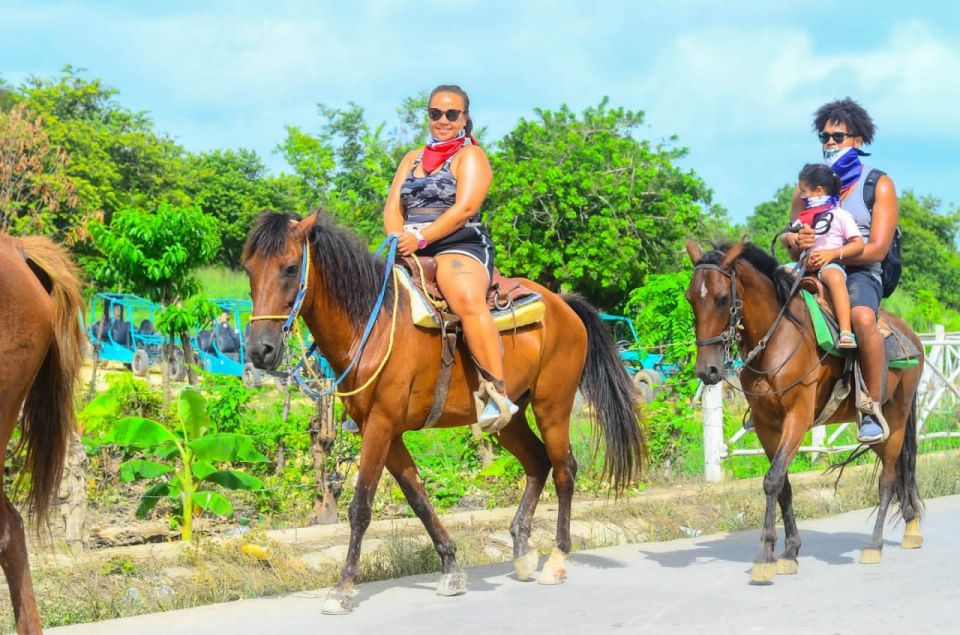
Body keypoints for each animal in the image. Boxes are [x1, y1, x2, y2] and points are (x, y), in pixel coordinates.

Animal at [242, 212, 644, 616]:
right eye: (248, 269)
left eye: (290, 268)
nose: (260, 350)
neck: (371, 323)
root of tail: (561, 304)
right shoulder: (388, 432)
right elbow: (418, 498)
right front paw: (451, 567)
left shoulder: (381, 425)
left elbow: (360, 507)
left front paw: (342, 588)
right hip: (509, 418)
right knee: (537, 462)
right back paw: (522, 551)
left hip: (553, 406)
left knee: (564, 471)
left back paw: (557, 560)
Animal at [688, 240, 928, 588]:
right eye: (690, 298)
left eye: (722, 298)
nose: (707, 371)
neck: (778, 337)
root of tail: (912, 336)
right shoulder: (767, 426)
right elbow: (783, 484)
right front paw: (789, 552)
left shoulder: (797, 419)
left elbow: (772, 480)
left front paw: (765, 556)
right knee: (897, 473)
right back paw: (911, 526)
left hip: (896, 419)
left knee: (888, 478)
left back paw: (874, 544)